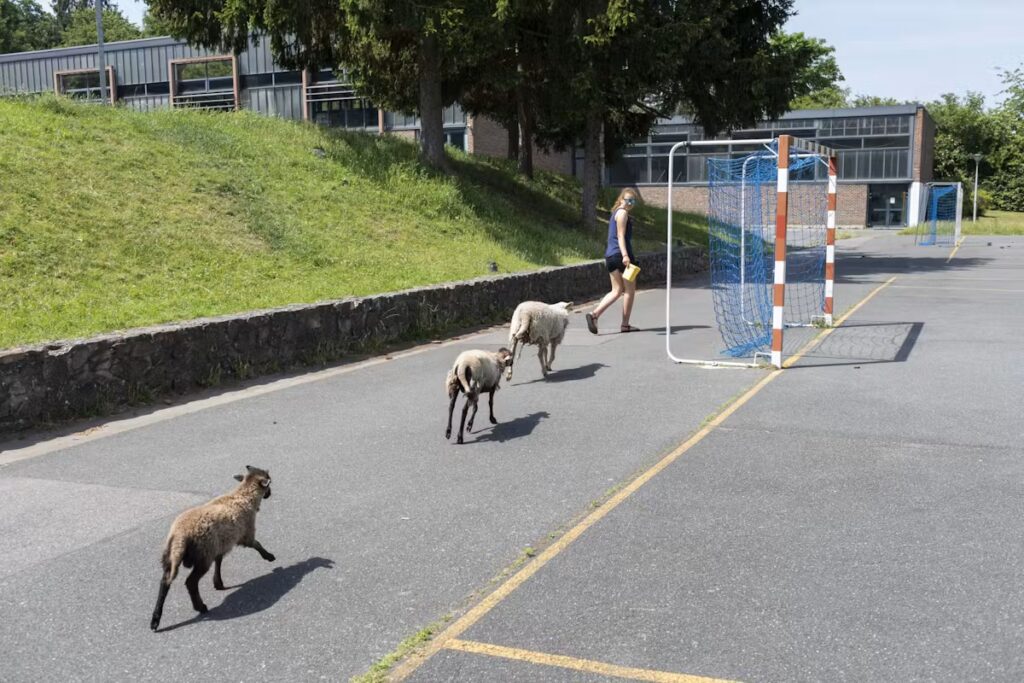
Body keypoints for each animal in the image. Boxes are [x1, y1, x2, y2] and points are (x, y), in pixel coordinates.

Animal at [150, 466, 275, 631]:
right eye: (268, 482)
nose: (270, 493)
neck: (242, 495)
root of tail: (180, 534)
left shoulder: (219, 544)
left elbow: (219, 561)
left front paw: (218, 583)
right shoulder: (245, 534)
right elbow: (257, 544)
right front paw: (269, 556)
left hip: (172, 555)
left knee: (164, 582)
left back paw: (155, 620)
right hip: (203, 555)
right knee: (190, 582)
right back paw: (200, 607)